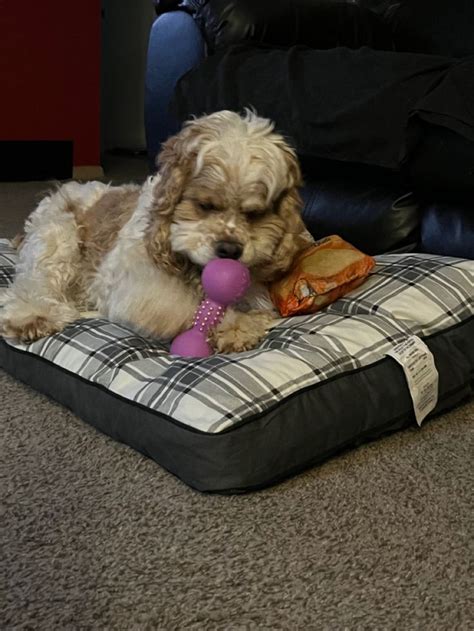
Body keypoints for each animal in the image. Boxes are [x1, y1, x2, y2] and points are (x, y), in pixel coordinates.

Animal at [0, 110, 312, 354]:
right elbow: (185, 308)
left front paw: (241, 328)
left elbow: (251, 306)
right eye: (204, 205)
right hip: (58, 233)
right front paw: (231, 324)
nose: (230, 250)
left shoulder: (255, 290)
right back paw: (31, 317)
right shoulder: (133, 287)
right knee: (34, 283)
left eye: (256, 214)